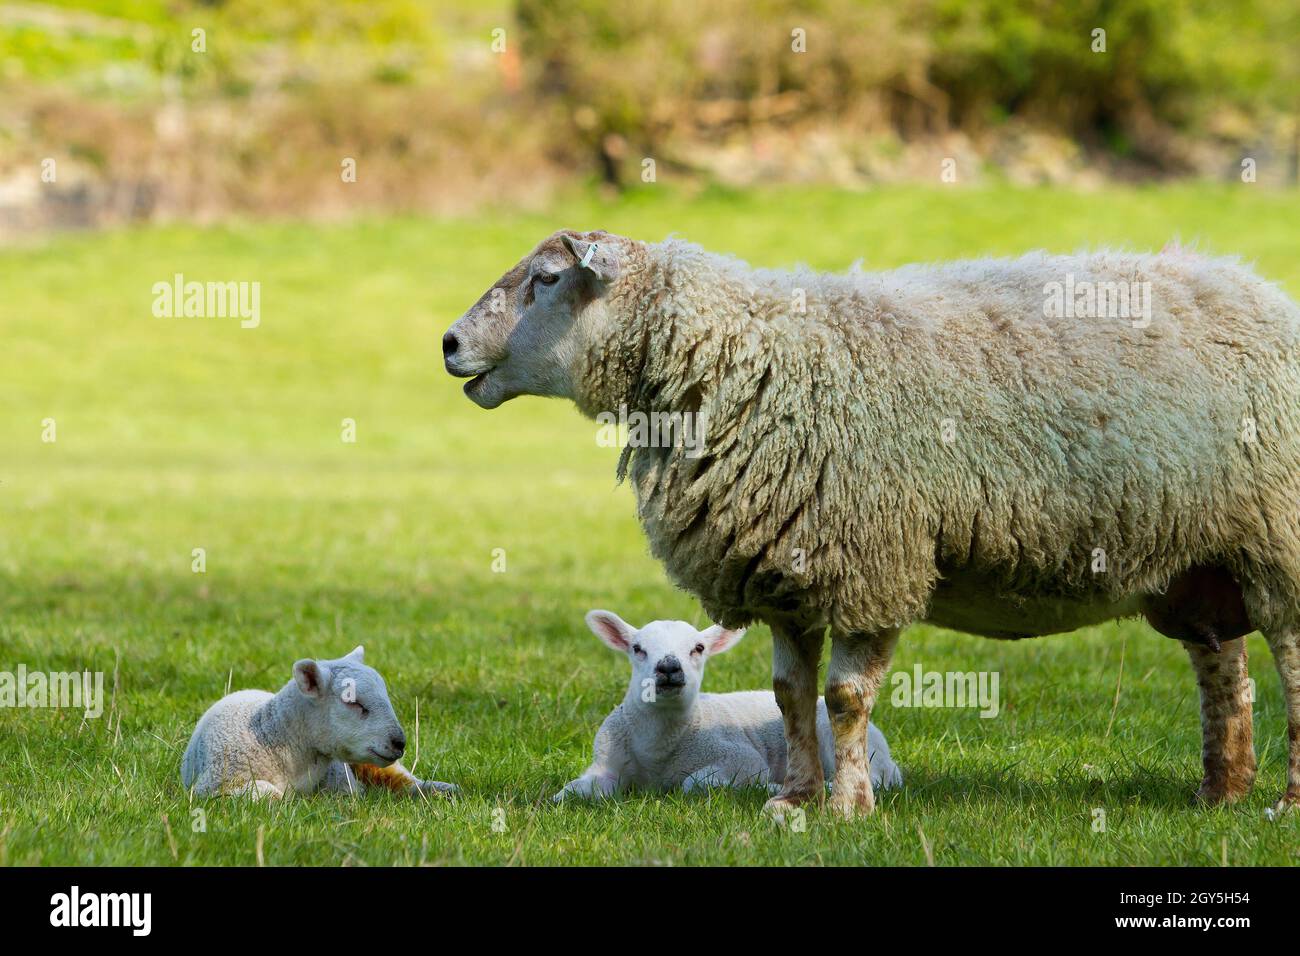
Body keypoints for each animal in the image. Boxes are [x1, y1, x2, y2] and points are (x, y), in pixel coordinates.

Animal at [554, 609, 901, 802]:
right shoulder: (604, 764)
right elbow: (570, 791)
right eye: (637, 648)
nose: (669, 668)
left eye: (698, 648)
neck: (657, 750)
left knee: (873, 779)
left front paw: (762, 786)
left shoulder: (739, 758)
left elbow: (692, 784)